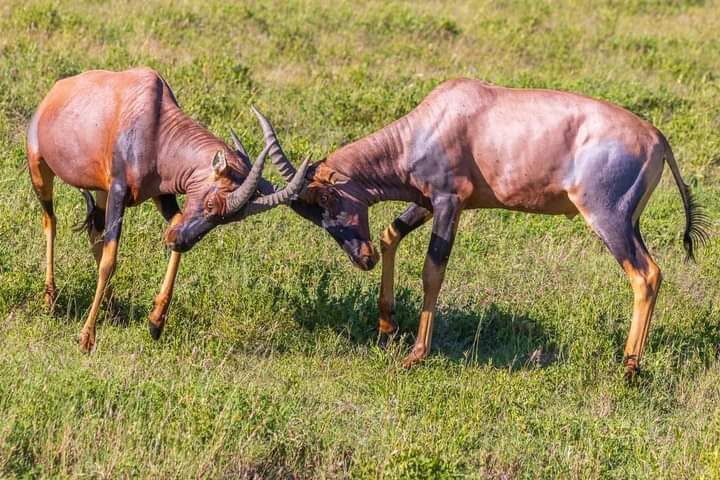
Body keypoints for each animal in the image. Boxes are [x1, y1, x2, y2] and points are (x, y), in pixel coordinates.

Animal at [27, 67, 307, 352]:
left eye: (227, 220)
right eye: (210, 203)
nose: (178, 241)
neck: (155, 124)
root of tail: (55, 92)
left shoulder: (161, 194)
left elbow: (175, 221)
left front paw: (155, 323)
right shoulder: (119, 191)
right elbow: (110, 261)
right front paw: (87, 338)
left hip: (101, 191)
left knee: (94, 232)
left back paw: (112, 307)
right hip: (40, 170)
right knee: (51, 221)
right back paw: (51, 300)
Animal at [247, 78, 707, 377]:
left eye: (326, 200)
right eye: (310, 212)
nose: (362, 259)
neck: (437, 120)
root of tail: (658, 138)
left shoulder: (450, 201)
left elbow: (433, 270)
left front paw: (416, 354)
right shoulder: (427, 201)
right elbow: (391, 234)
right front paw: (386, 326)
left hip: (607, 218)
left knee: (645, 274)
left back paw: (629, 369)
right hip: (630, 220)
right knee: (651, 272)